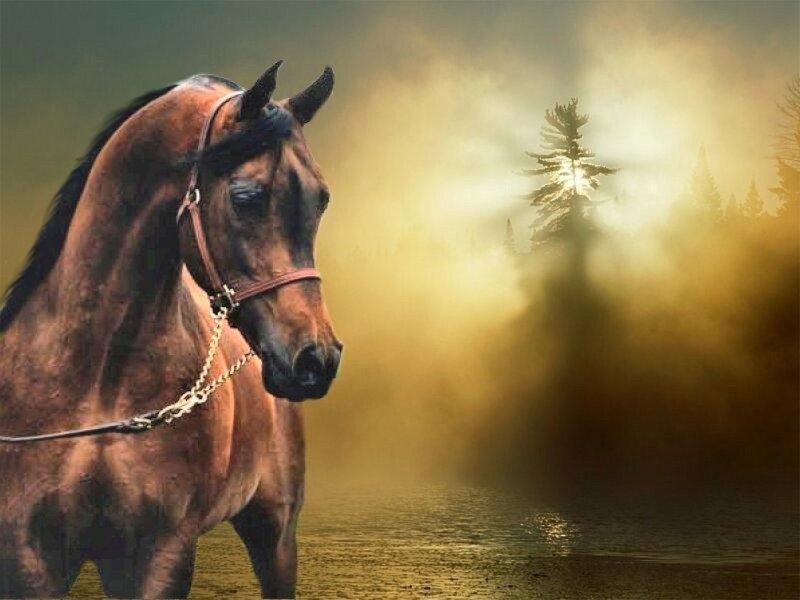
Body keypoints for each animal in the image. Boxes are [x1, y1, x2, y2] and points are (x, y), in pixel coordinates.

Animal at [0, 61, 342, 598]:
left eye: (320, 199)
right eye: (246, 197)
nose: (316, 359)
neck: (98, 378)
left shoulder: (163, 552)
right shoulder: (30, 556)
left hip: (275, 534)